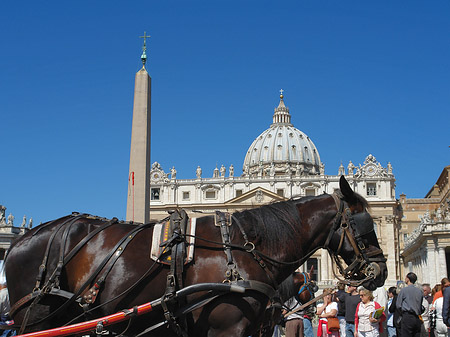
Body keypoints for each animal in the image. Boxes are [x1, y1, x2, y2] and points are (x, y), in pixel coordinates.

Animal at [3, 176, 388, 336]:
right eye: (363, 223)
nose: (381, 272)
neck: (243, 249)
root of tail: (27, 236)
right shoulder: (226, 328)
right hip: (35, 316)